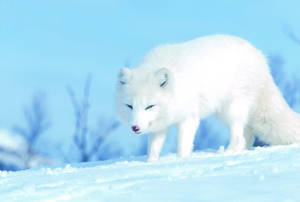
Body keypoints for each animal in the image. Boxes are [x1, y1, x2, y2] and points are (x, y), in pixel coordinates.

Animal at [115, 34, 300, 162]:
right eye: (130, 106)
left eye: (149, 106)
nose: (135, 127)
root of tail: (260, 58)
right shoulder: (160, 125)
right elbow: (153, 149)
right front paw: (151, 163)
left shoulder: (189, 118)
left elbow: (183, 146)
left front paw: (181, 162)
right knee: (247, 135)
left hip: (231, 109)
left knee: (238, 136)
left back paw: (228, 153)